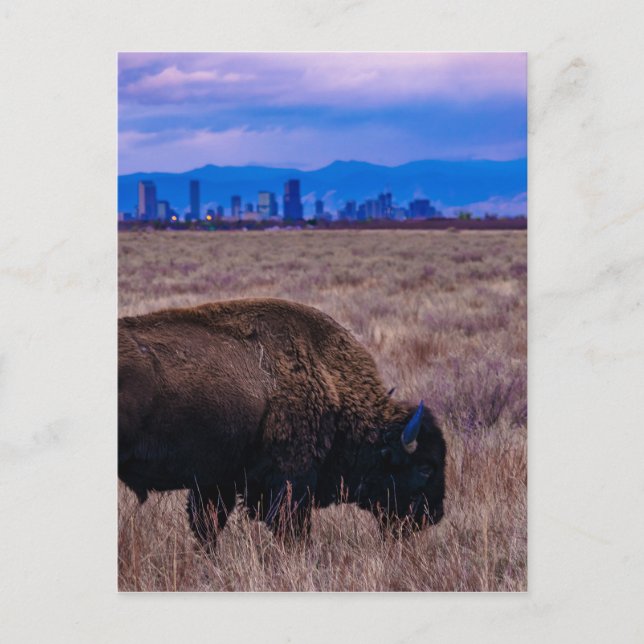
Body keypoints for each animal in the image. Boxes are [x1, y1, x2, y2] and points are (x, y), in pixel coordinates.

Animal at [118, 298, 446, 545]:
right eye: (425, 467)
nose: (435, 515)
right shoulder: (289, 482)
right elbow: (291, 532)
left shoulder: (217, 480)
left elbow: (207, 528)